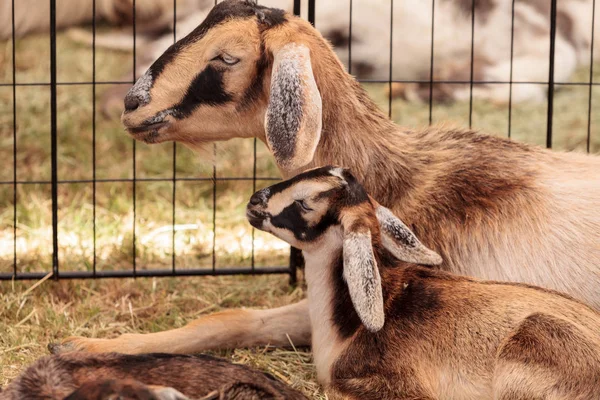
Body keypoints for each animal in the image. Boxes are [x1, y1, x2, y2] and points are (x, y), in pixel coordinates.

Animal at [52, 0, 600, 356]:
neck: (404, 179)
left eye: (226, 58)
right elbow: (233, 318)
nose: (131, 104)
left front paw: (82, 348)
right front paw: (83, 345)